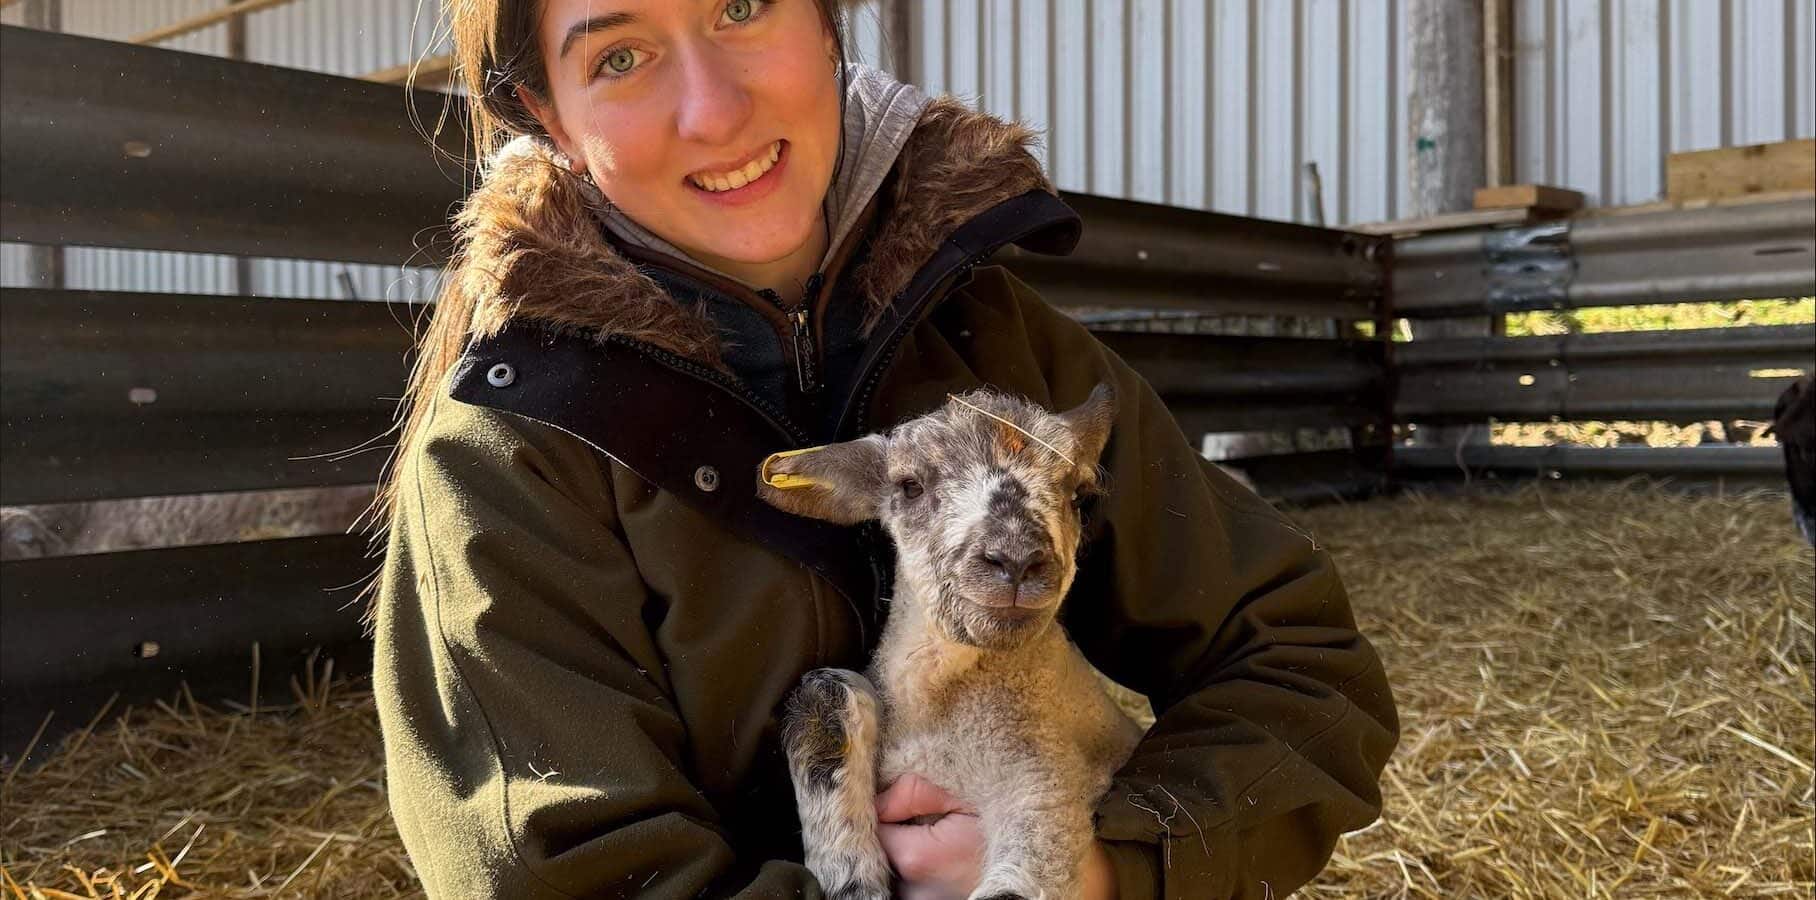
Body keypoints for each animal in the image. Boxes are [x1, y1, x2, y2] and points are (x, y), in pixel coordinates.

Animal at [756, 384, 1144, 900]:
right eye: (909, 486)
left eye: (1078, 497)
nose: (1016, 560)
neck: (941, 714)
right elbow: (825, 691)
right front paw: (854, 880)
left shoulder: (1048, 781)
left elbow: (1019, 883)